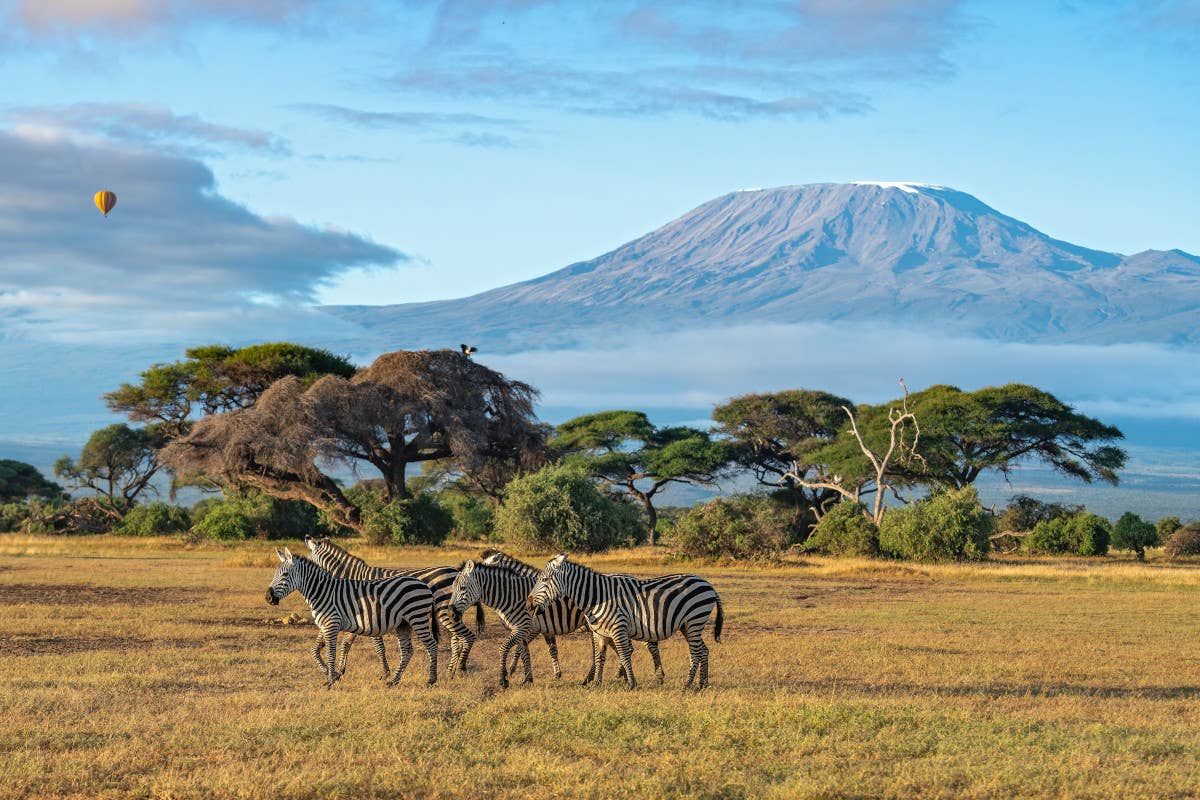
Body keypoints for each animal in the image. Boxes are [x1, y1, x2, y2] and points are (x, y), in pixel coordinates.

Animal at [265, 551, 439, 690]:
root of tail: (424, 585)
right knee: (407, 651)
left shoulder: (331, 624)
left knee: (431, 645)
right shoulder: (325, 625)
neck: (322, 592)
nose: (268, 598)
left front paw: (330, 681)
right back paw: (394, 681)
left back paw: (430, 681)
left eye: (284, 575)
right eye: (275, 574)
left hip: (417, 617)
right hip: (403, 624)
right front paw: (333, 674)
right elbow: (315, 650)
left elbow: (330, 653)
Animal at [304, 534, 482, 681]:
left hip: (445, 612)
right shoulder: (352, 617)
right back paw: (450, 672)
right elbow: (341, 644)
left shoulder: (369, 616)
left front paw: (385, 673)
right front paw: (337, 670)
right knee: (457, 640)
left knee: (466, 636)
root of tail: (456, 571)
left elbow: (378, 647)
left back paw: (458, 670)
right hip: (451, 613)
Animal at [465, 551, 667, 690]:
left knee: (648, 645)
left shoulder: (532, 627)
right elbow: (549, 650)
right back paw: (618, 675)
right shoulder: (544, 629)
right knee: (622, 648)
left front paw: (514, 672)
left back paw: (656, 676)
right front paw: (553, 674)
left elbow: (521, 650)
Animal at [528, 554, 720, 690]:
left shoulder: (618, 628)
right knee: (703, 650)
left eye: (544, 580)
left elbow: (624, 653)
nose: (528, 605)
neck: (597, 597)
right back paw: (702, 683)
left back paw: (687, 685)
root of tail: (708, 584)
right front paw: (596, 683)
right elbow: (600, 657)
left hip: (694, 620)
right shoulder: (599, 633)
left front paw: (631, 683)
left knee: (695, 652)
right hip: (687, 626)